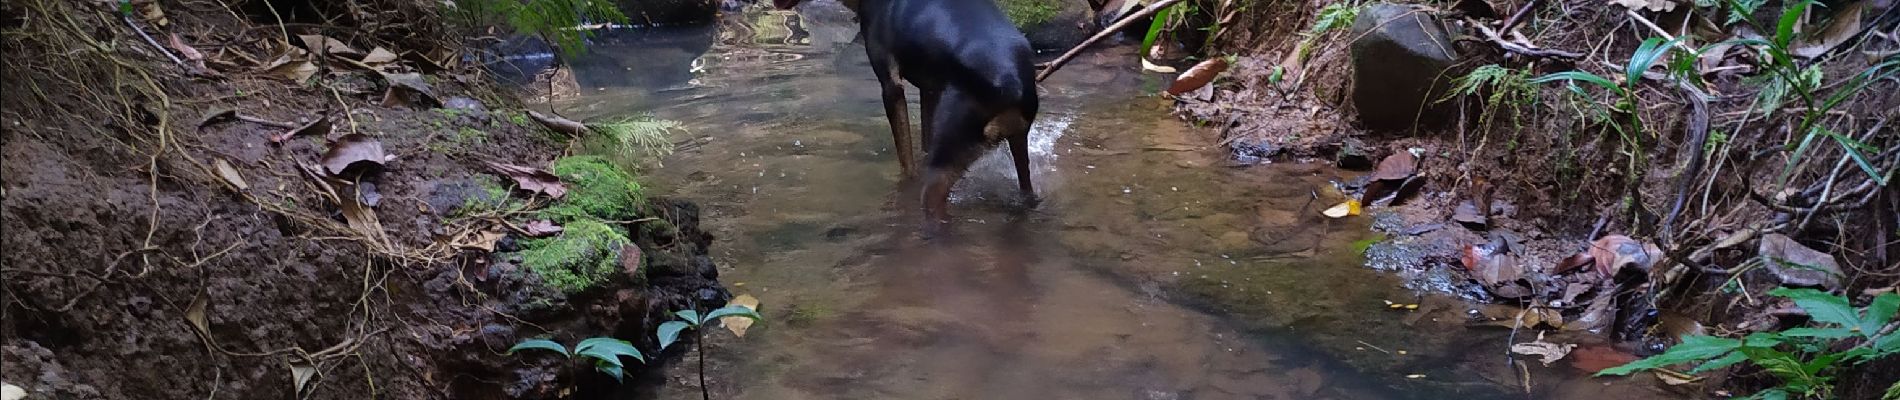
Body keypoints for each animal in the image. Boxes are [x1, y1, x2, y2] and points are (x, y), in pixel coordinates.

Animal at [771, 0, 1041, 233]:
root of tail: (1011, 81)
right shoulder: (929, 90)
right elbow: (923, 140)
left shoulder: (891, 85)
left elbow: (906, 158)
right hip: (1017, 142)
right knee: (1027, 191)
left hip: (947, 155)